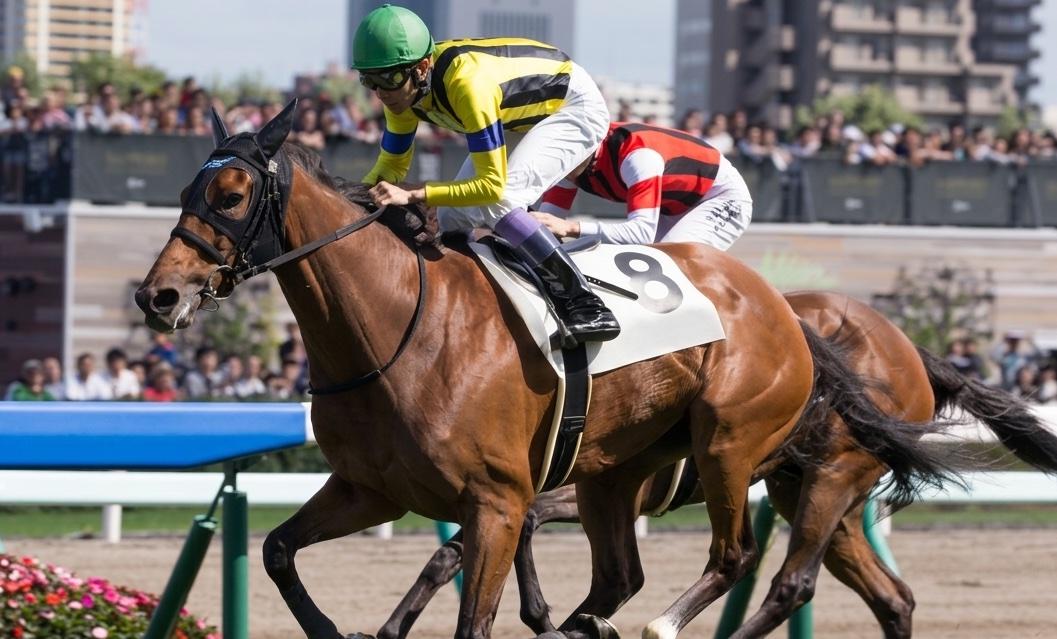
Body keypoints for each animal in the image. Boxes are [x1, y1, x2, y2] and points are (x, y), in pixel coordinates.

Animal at [134, 103, 955, 639]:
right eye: (183, 192)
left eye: (231, 195)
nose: (157, 295)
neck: (400, 329)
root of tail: (786, 313)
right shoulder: (372, 488)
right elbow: (278, 550)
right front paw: (348, 629)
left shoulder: (499, 499)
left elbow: (468, 599)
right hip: (670, 478)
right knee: (870, 594)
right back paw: (588, 625)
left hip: (747, 452)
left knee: (750, 564)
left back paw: (659, 624)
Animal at [374, 291, 1057, 639]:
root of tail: (910, 347)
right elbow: (452, 553)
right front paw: (389, 628)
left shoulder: (574, 486)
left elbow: (503, 536)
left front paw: (540, 615)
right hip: (804, 488)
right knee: (893, 597)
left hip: (832, 476)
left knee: (792, 584)